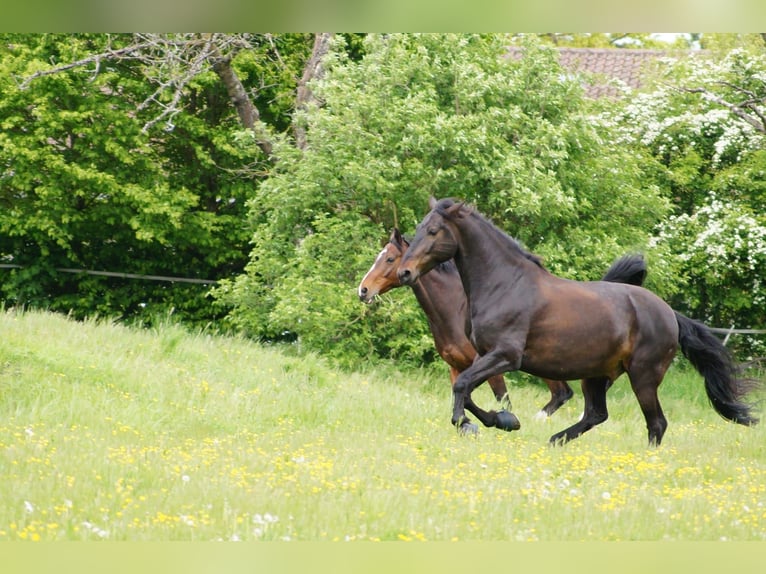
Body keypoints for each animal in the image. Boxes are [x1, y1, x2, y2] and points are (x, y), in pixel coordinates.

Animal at [358, 227, 648, 433]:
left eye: (390, 258)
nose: (363, 290)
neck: (454, 308)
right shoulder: (456, 366)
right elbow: (463, 398)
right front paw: (469, 424)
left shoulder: (491, 363)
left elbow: (501, 399)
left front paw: (505, 420)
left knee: (566, 392)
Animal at [397, 197, 759, 445]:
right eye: (418, 230)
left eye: (433, 231)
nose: (405, 272)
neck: (505, 284)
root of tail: (669, 313)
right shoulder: (482, 356)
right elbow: (468, 389)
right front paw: (505, 420)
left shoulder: (505, 356)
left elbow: (462, 386)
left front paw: (479, 422)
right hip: (597, 375)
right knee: (598, 413)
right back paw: (555, 440)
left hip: (643, 375)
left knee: (656, 423)